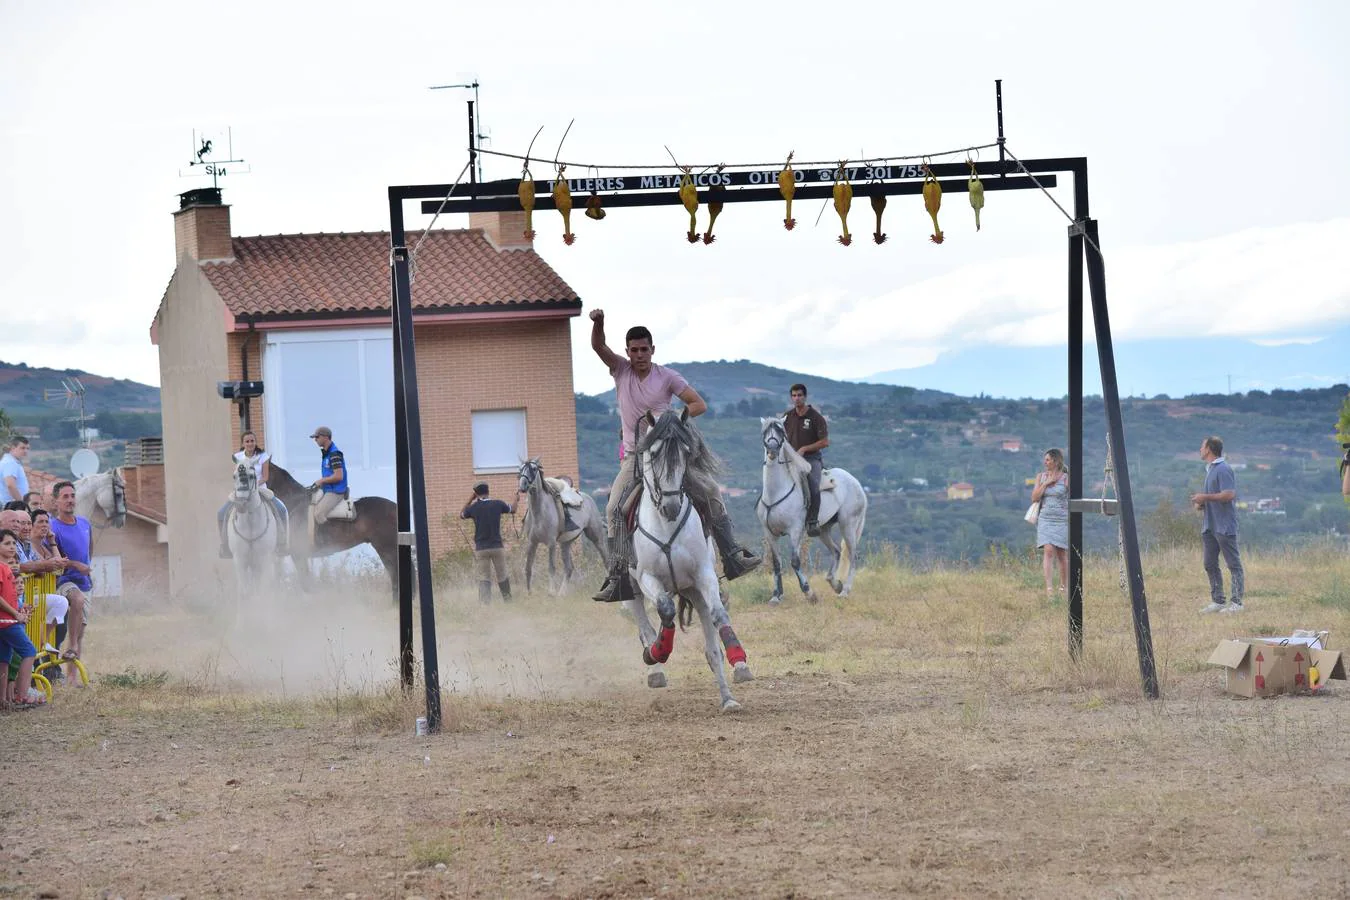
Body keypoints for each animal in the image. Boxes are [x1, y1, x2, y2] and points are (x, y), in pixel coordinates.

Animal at [761, 418, 864, 604]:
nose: (772, 450)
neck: (775, 492)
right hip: (823, 529)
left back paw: (845, 590)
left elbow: (795, 561)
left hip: (848, 525)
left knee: (852, 555)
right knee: (836, 551)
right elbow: (776, 563)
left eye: (780, 432)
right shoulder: (770, 533)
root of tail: (855, 482)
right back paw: (835, 584)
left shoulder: (795, 531)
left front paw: (809, 593)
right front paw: (776, 596)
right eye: (765, 432)